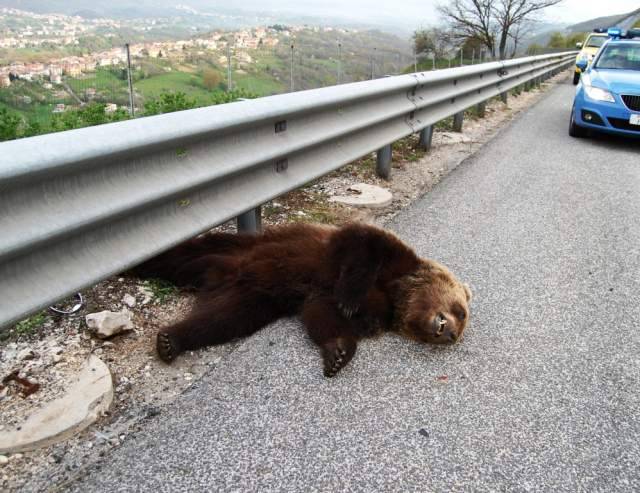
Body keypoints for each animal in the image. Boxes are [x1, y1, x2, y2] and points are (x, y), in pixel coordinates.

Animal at [134, 222, 472, 377]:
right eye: (461, 311)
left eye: (461, 325)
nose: (451, 334)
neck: (398, 295)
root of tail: (218, 276)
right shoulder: (387, 258)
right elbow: (362, 244)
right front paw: (349, 297)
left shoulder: (369, 311)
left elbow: (323, 317)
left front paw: (338, 353)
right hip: (239, 247)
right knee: (182, 256)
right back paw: (143, 264)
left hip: (253, 299)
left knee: (223, 320)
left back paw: (170, 341)